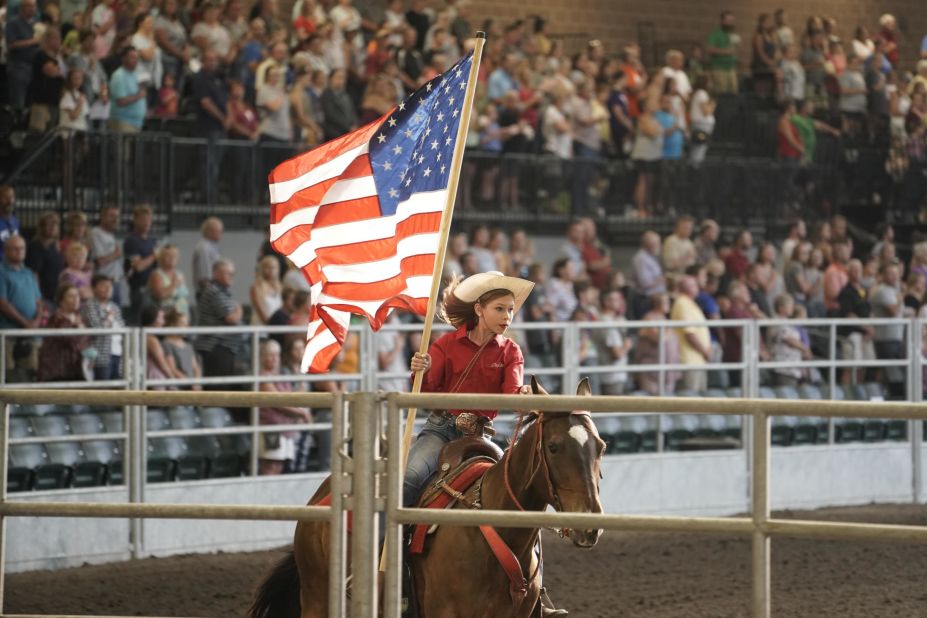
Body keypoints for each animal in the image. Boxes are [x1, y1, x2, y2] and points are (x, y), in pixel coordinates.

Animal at [248, 376, 608, 616]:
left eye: (601, 446)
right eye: (554, 446)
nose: (589, 526)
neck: (496, 529)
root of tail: (322, 495)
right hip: (316, 595)